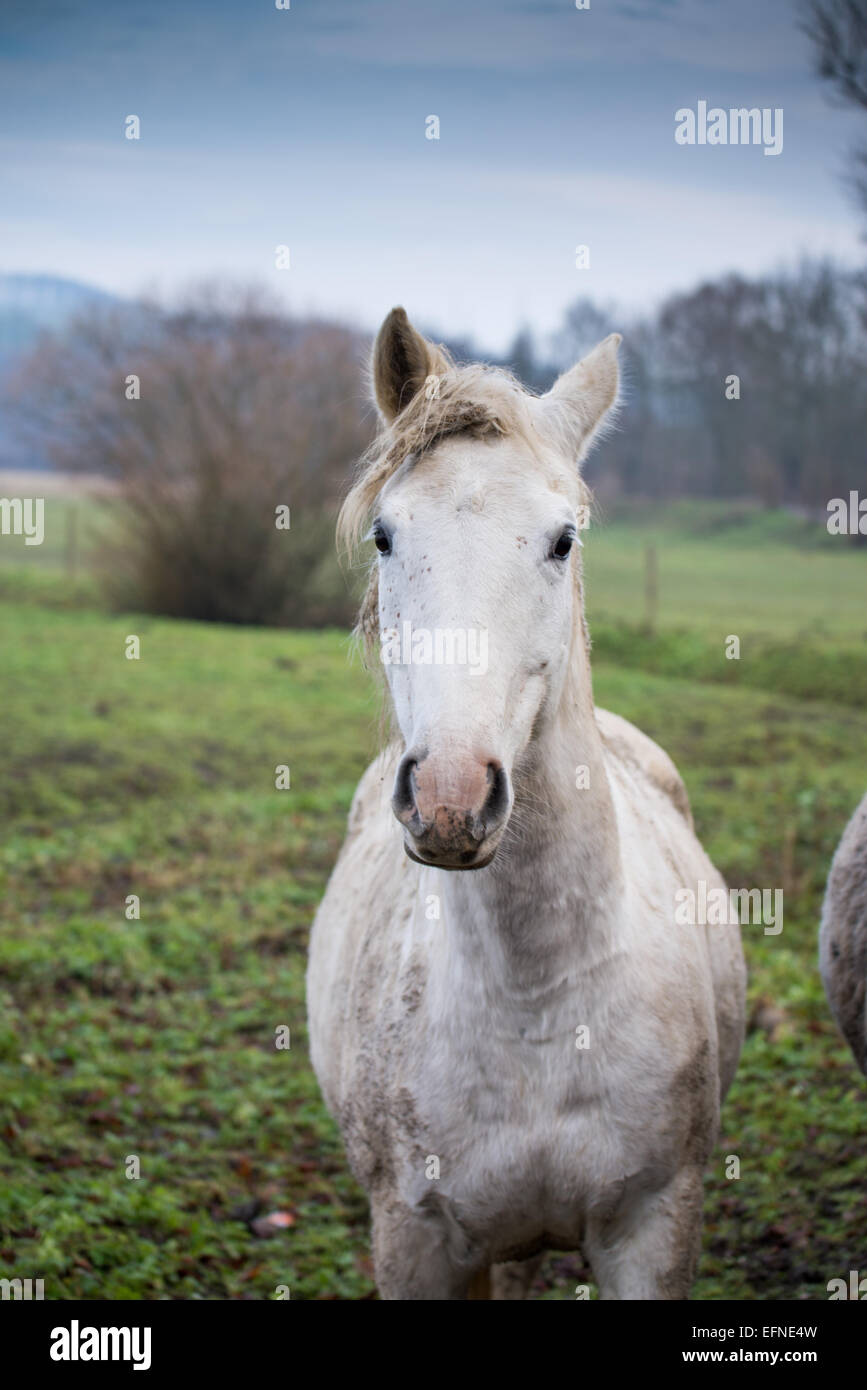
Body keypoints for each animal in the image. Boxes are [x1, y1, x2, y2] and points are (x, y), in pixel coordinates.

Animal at [307, 309, 744, 1295]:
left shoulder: (653, 1225)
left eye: (562, 541)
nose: (449, 796)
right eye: (385, 536)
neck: (535, 1001)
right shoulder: (417, 1239)